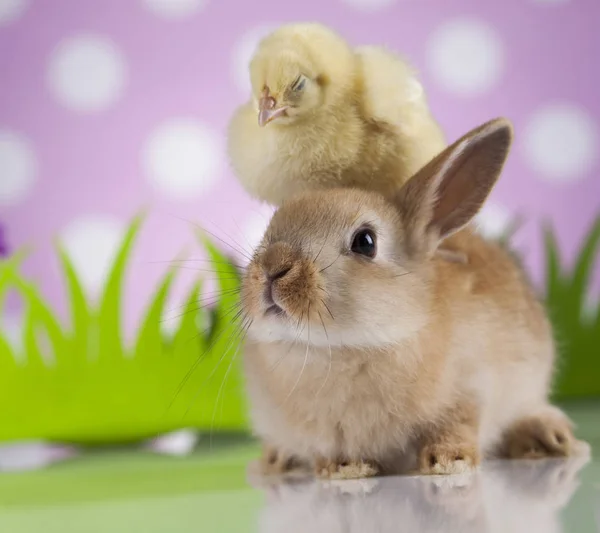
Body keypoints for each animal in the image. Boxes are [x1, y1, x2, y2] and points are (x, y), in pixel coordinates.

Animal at [237, 116, 588, 478]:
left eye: (365, 241)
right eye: (269, 230)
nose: (273, 267)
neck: (341, 349)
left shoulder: (471, 388)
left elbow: (458, 424)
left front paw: (449, 461)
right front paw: (345, 469)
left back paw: (549, 439)